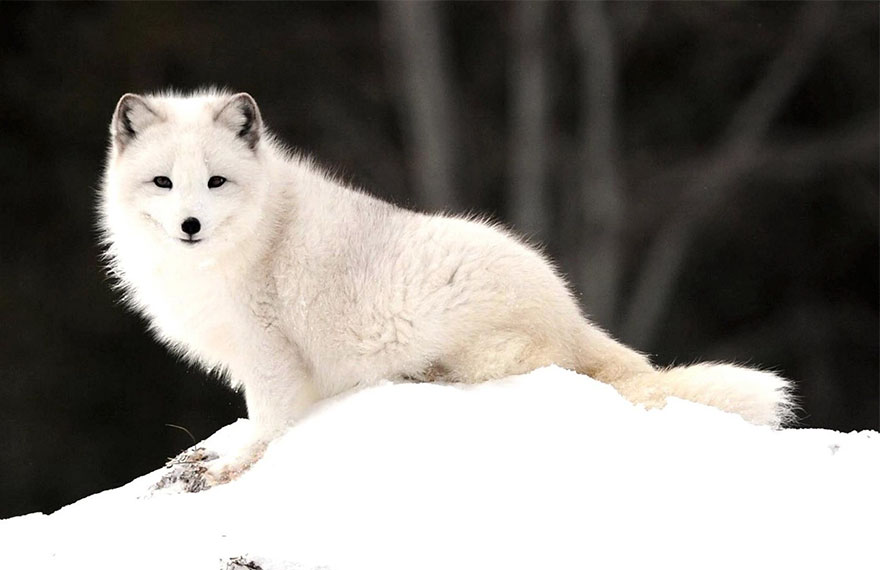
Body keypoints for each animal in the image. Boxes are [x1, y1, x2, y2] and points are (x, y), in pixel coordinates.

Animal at [100, 89, 793, 488]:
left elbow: (268, 423)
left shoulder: (269, 351)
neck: (253, 234)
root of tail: (570, 311)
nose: (190, 225)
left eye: (216, 182)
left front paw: (230, 466)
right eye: (164, 183)